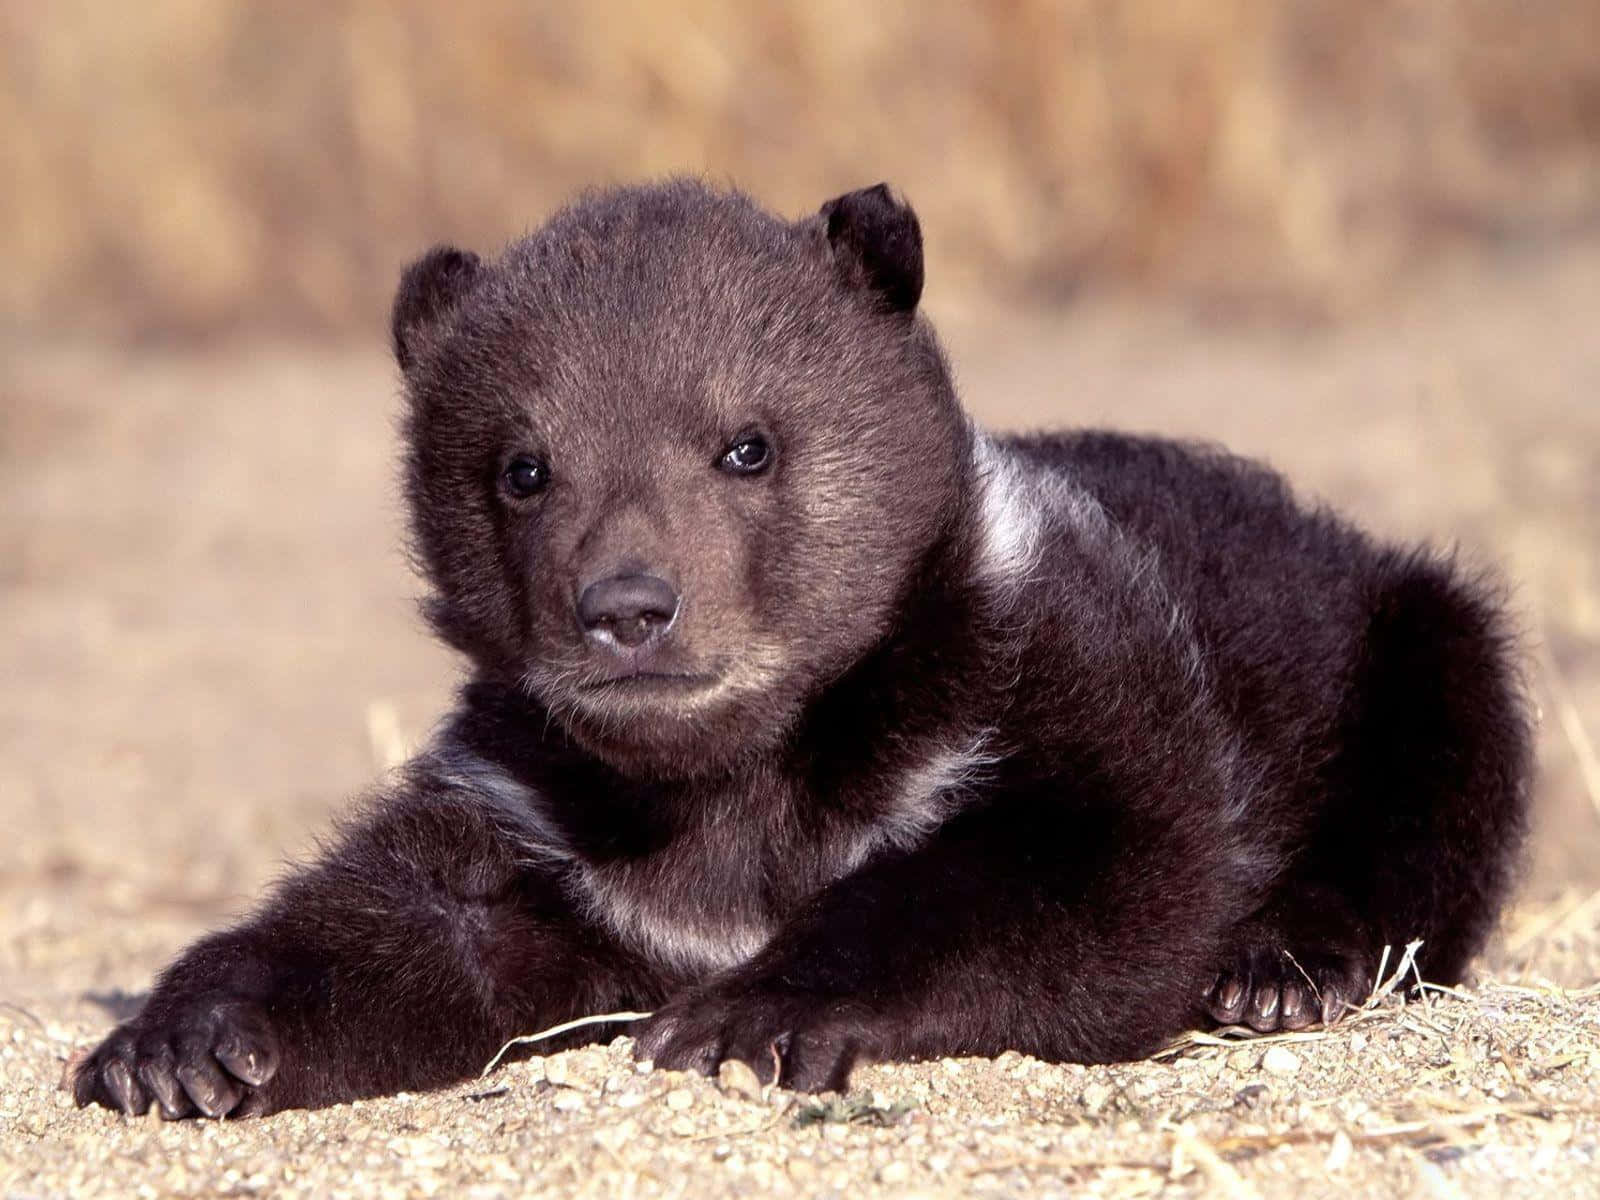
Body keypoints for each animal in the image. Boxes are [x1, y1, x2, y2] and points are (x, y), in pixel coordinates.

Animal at [73, 180, 1532, 1118]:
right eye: (521, 465)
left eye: (748, 443)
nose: (628, 607)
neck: (740, 776)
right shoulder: (544, 819)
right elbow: (407, 924)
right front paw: (181, 1041)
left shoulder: (1064, 687)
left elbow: (1084, 879)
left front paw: (749, 1014)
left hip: (1407, 638)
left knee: (1436, 790)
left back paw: (1282, 969)